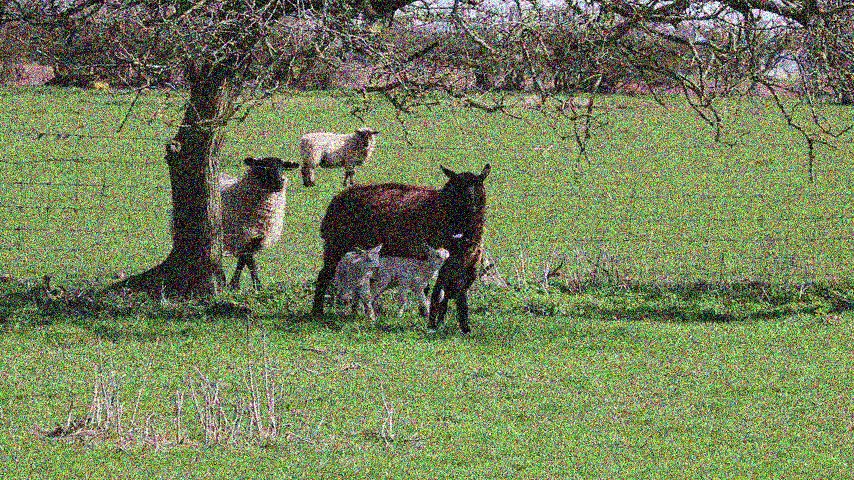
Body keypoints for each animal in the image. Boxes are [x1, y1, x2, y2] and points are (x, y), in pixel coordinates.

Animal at [221, 156, 300, 291]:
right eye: (263, 167)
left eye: (283, 167)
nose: (280, 181)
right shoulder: (243, 235)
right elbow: (250, 261)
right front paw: (250, 285)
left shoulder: (257, 236)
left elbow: (243, 261)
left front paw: (239, 284)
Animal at [311, 163, 491, 333]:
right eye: (457, 186)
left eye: (478, 184)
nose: (471, 205)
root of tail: (336, 200)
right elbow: (440, 293)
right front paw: (435, 321)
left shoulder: (463, 264)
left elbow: (455, 294)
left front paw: (454, 324)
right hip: (335, 246)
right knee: (324, 276)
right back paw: (318, 312)